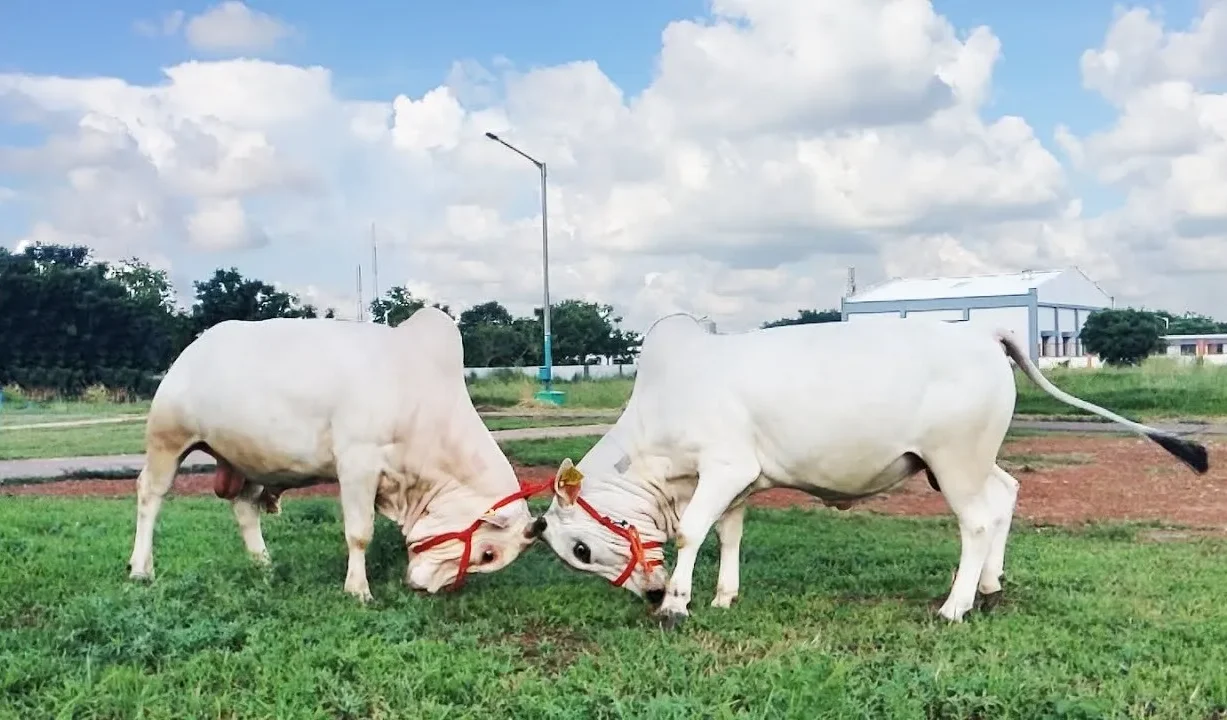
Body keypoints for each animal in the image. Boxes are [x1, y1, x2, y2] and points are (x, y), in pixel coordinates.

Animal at [126, 307, 551, 601]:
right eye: (488, 554)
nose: (424, 589)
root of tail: (194, 348)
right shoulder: (358, 464)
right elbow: (359, 533)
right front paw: (358, 590)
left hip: (248, 461)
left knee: (245, 507)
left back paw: (263, 564)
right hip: (167, 438)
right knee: (150, 495)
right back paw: (141, 569)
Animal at [534, 313, 1209, 628]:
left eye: (581, 549)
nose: (648, 593)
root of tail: (982, 330)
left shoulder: (724, 466)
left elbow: (691, 531)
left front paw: (677, 604)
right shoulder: (739, 483)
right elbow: (728, 534)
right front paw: (723, 596)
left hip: (954, 461)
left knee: (977, 521)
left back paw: (955, 605)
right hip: (971, 461)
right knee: (1007, 493)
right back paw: (989, 588)